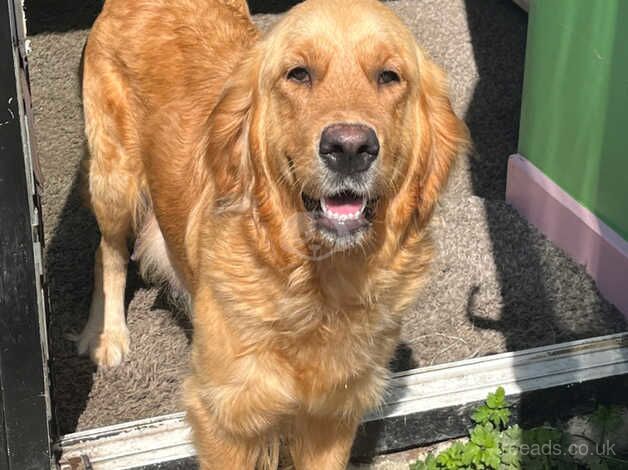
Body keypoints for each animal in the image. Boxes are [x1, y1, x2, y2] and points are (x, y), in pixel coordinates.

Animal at [78, 0, 468, 466]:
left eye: (389, 76)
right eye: (298, 73)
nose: (350, 147)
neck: (318, 285)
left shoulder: (332, 415)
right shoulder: (225, 418)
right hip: (114, 179)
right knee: (108, 251)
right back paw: (107, 335)